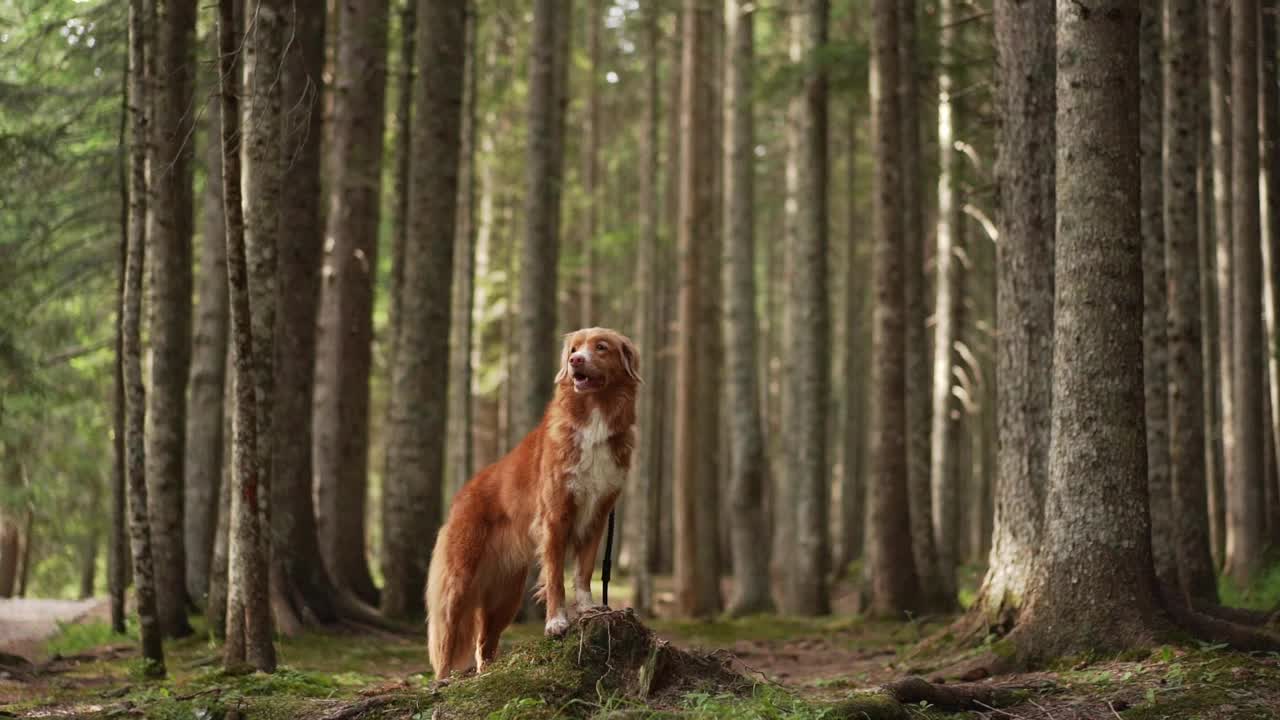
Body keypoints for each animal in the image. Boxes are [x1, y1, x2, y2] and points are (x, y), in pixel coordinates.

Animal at [424, 327, 640, 676]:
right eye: (575, 349)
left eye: (601, 347)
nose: (575, 361)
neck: (594, 418)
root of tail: (462, 495)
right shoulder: (555, 516)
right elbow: (555, 578)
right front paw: (556, 622)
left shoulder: (597, 516)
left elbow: (583, 572)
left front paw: (588, 608)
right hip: (458, 583)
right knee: (447, 640)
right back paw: (443, 681)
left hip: (506, 597)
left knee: (484, 644)